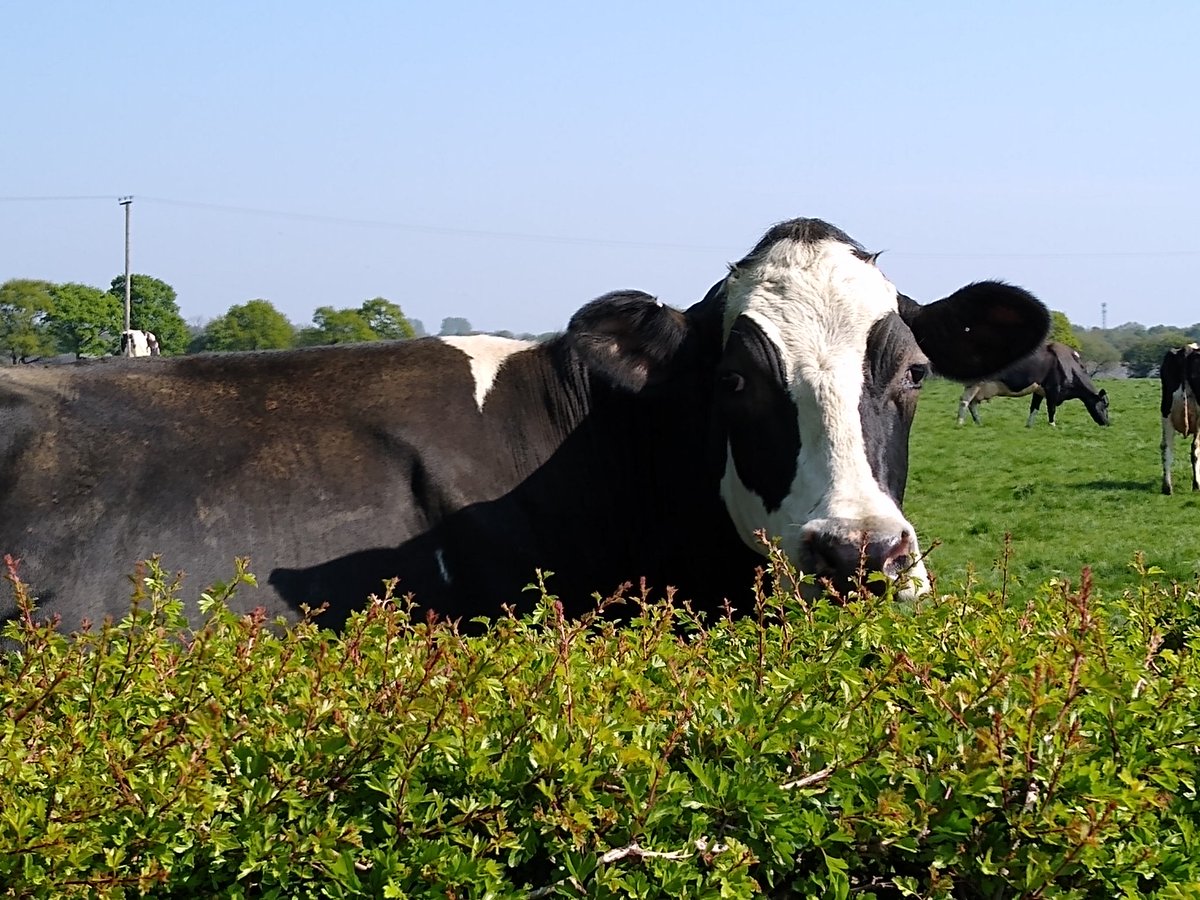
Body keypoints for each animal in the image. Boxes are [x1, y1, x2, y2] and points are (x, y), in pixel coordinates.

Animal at [957, 342, 1109, 427]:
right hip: (974, 384)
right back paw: (959, 423)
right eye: (1105, 405)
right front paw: (1052, 425)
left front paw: (1029, 426)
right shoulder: (1053, 389)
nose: (1108, 423)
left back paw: (978, 423)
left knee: (972, 403)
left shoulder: (1039, 390)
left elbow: (1034, 408)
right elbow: (1051, 408)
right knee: (965, 401)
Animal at [1160, 343, 1200, 495]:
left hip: (1165, 413)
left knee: (1166, 447)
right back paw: (1196, 485)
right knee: (1195, 448)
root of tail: (1186, 349)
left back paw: (1167, 487)